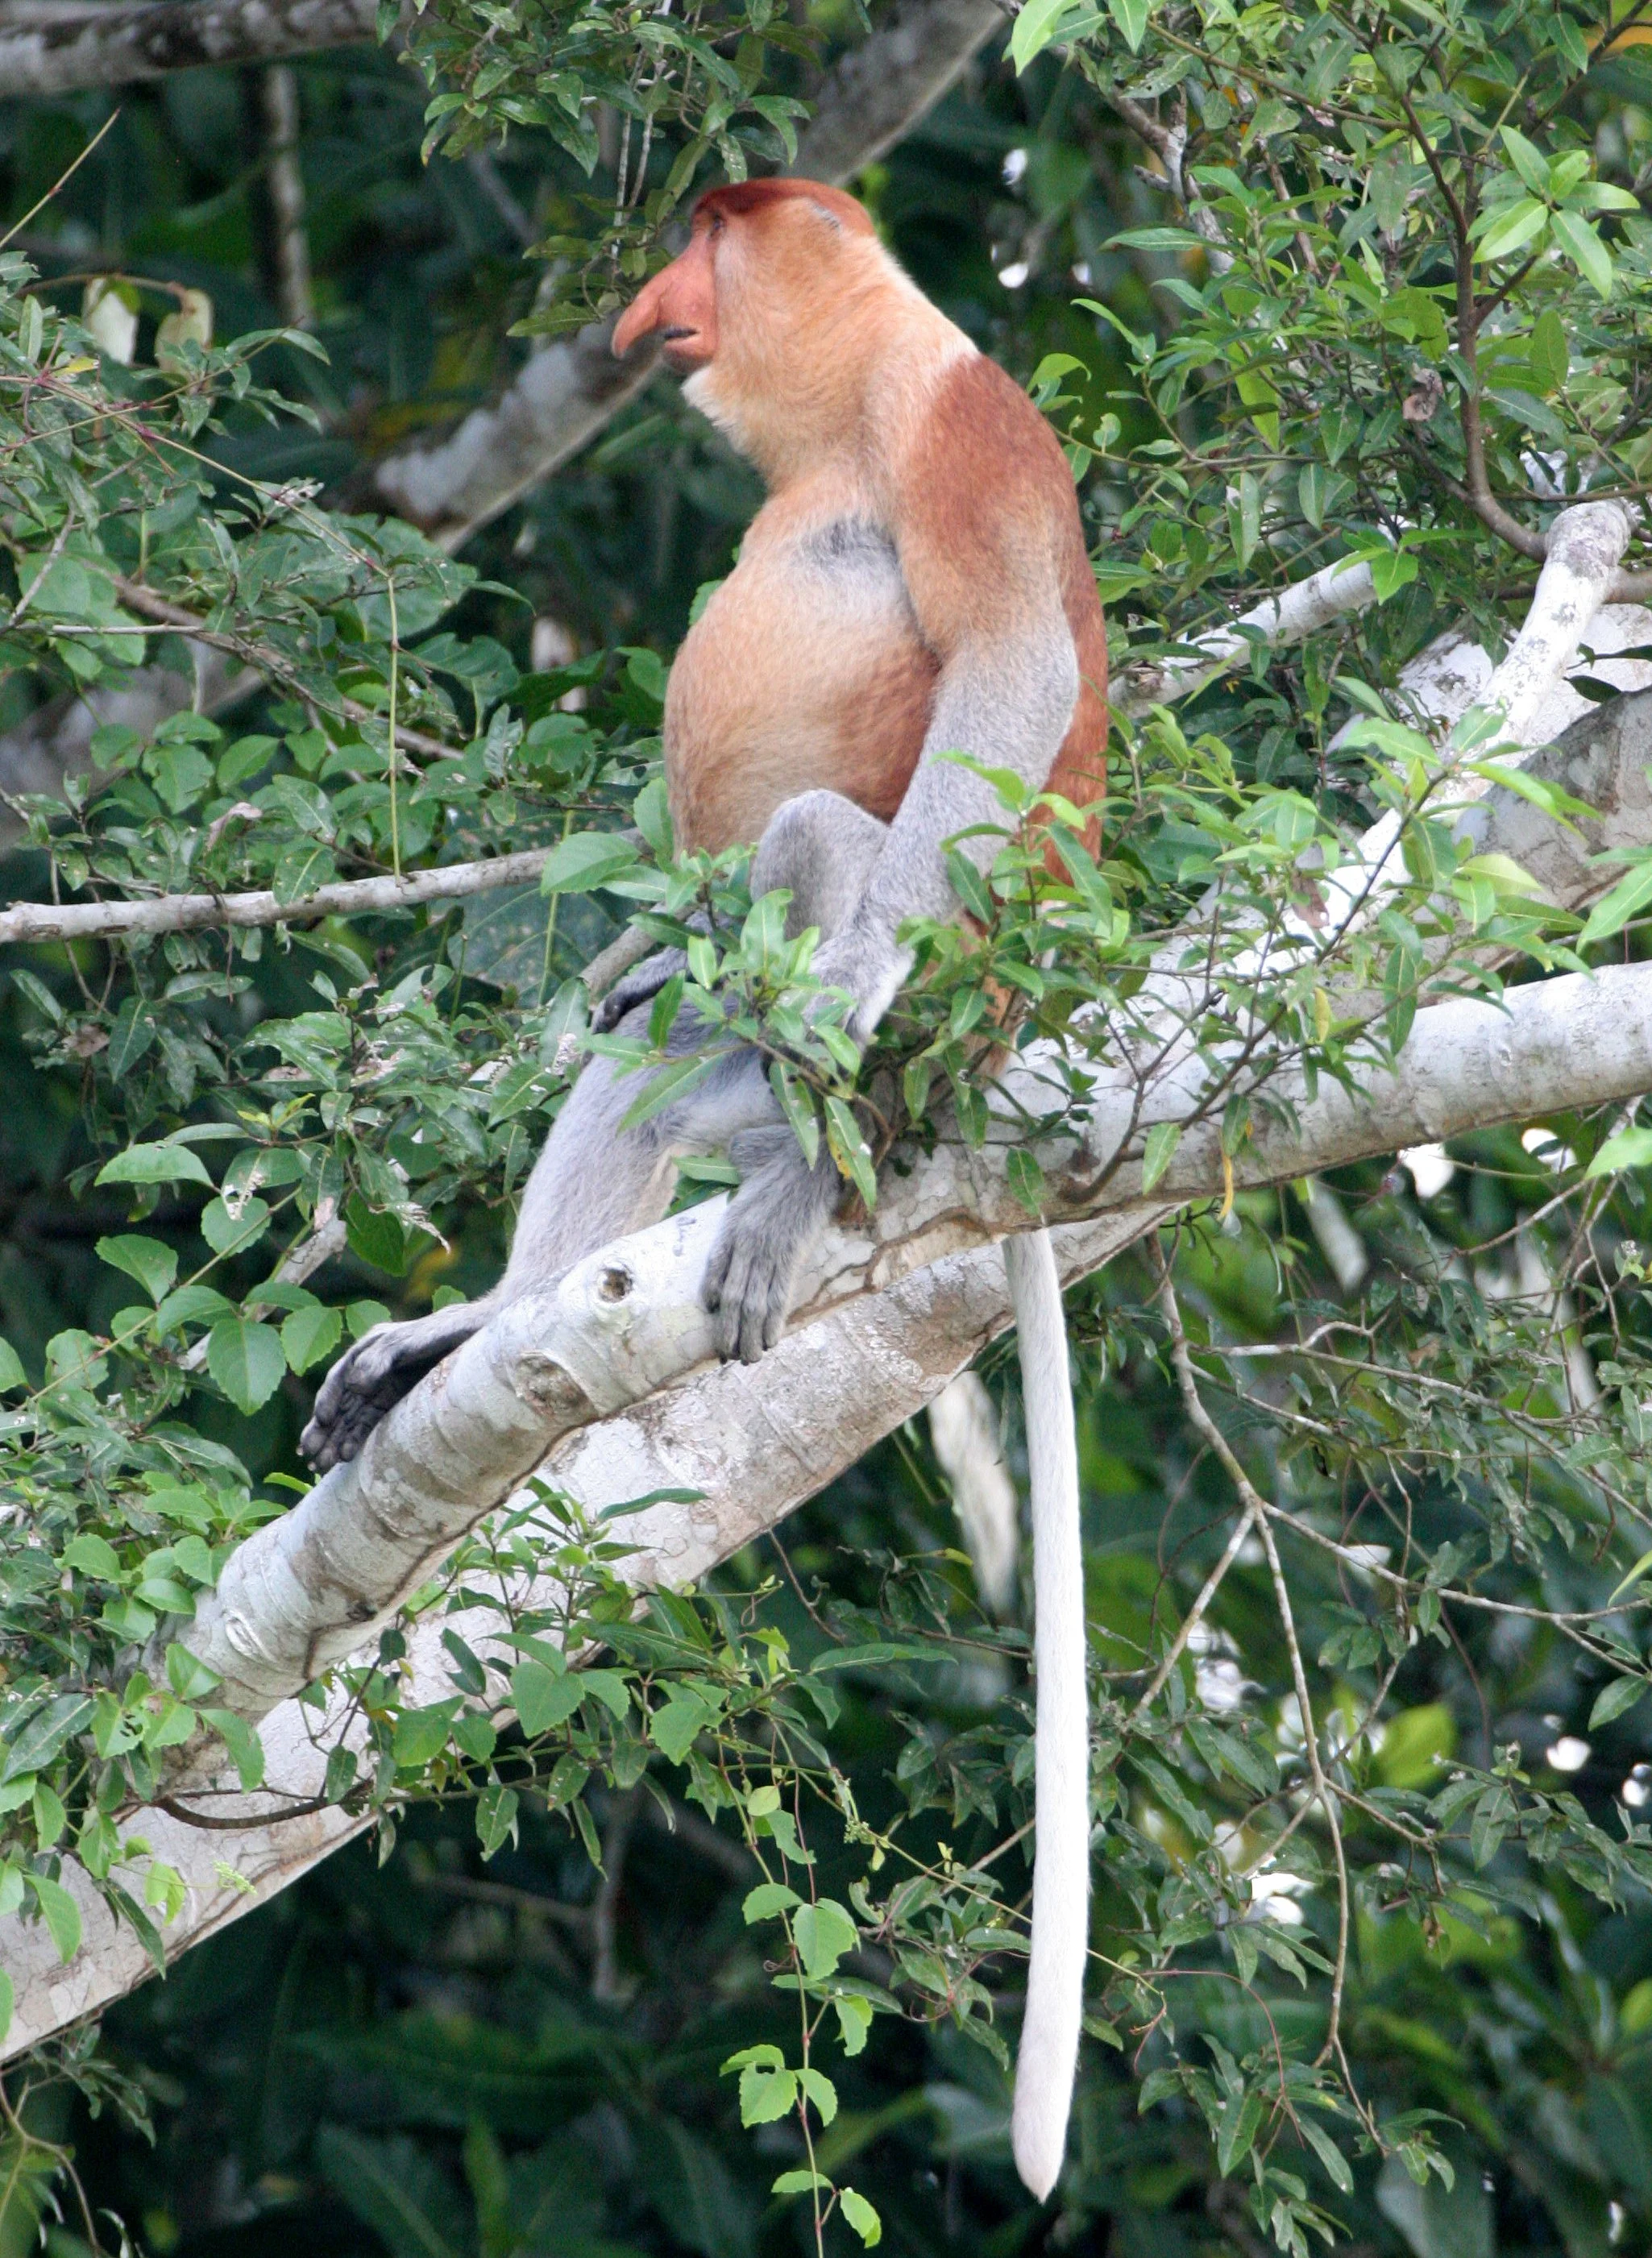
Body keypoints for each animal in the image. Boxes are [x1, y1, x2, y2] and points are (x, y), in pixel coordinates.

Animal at [301, 177, 1107, 2200]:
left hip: (937, 1021)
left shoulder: (964, 431)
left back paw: (807, 1168)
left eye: (703, 240)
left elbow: (1007, 673)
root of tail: (1013, 1050)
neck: (842, 420)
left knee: (831, 846)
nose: (639, 310)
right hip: (719, 1078)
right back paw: (470, 1333)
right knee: (647, 1060)